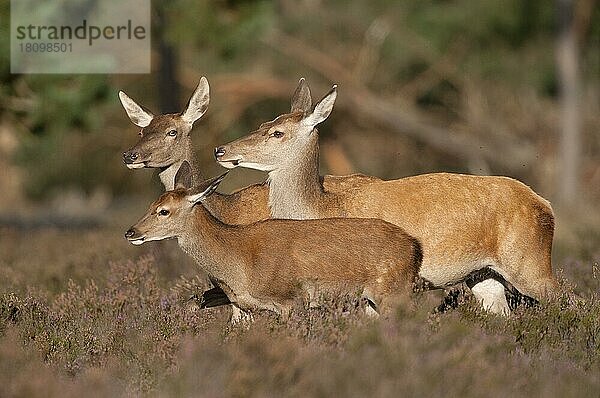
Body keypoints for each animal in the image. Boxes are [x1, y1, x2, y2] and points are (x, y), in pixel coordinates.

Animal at [124, 160, 422, 318]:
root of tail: (414, 246)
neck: (240, 263)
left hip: (393, 291)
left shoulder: (290, 298)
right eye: (151, 204)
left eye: (164, 211)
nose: (131, 232)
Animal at [216, 79, 556, 314]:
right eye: (263, 123)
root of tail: (545, 205)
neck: (323, 208)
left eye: (277, 133)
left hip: (528, 261)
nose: (221, 149)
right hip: (483, 274)